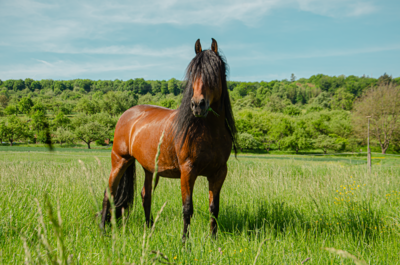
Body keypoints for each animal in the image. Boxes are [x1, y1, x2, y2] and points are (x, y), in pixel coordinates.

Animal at [101, 38, 238, 240]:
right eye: (193, 72)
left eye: (214, 73)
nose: (197, 105)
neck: (208, 132)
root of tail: (127, 114)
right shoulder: (188, 171)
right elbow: (187, 208)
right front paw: (184, 242)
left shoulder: (219, 172)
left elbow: (214, 208)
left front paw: (213, 239)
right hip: (120, 160)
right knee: (108, 193)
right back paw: (102, 228)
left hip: (149, 168)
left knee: (145, 195)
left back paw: (149, 228)